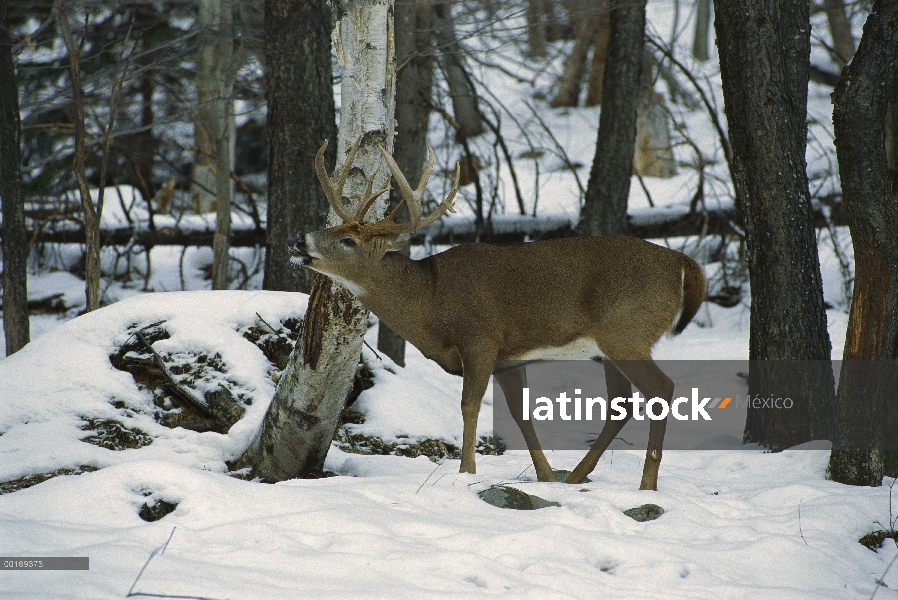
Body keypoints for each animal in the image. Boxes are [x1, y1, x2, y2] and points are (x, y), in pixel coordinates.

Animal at [290, 138, 704, 490]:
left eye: (348, 241)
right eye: (333, 226)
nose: (298, 239)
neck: (431, 300)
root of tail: (682, 262)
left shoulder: (480, 337)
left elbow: (469, 406)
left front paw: (466, 472)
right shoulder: (508, 360)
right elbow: (522, 413)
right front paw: (546, 476)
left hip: (626, 332)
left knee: (660, 389)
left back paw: (646, 484)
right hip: (608, 347)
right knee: (623, 403)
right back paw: (576, 477)